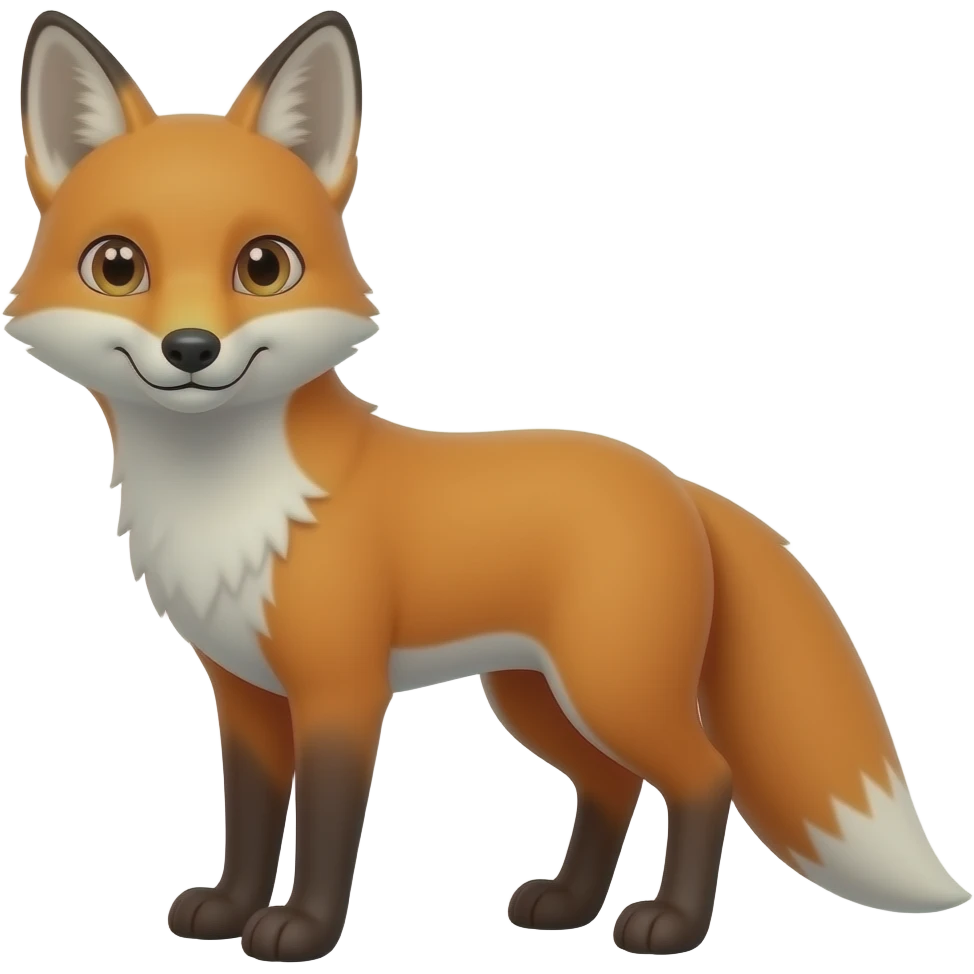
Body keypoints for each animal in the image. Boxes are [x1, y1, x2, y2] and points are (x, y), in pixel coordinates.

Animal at [6, 8, 970, 964]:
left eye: (264, 266)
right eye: (118, 266)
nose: (192, 349)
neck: (226, 498)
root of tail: (676, 482)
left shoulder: (340, 689)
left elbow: (325, 827)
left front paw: (302, 931)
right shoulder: (243, 693)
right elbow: (247, 819)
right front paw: (229, 908)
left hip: (610, 689)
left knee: (706, 777)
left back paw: (670, 925)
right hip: (538, 697)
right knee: (613, 786)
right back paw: (569, 904)